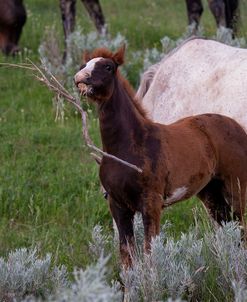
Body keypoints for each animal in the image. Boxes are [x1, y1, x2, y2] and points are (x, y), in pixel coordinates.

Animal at [74, 45, 247, 266]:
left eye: (108, 67)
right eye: (84, 65)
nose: (80, 78)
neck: (130, 145)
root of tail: (236, 126)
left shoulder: (151, 204)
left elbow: (150, 253)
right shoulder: (118, 205)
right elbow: (127, 254)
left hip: (236, 188)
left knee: (240, 229)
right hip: (211, 192)